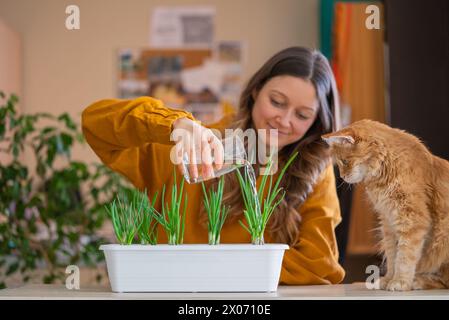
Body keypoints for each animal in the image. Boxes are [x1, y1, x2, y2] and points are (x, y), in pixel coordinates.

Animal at [320, 119, 448, 292]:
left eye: (344, 161)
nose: (343, 176)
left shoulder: (411, 219)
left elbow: (405, 256)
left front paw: (400, 282)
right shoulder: (388, 223)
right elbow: (392, 256)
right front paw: (388, 279)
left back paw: (418, 281)